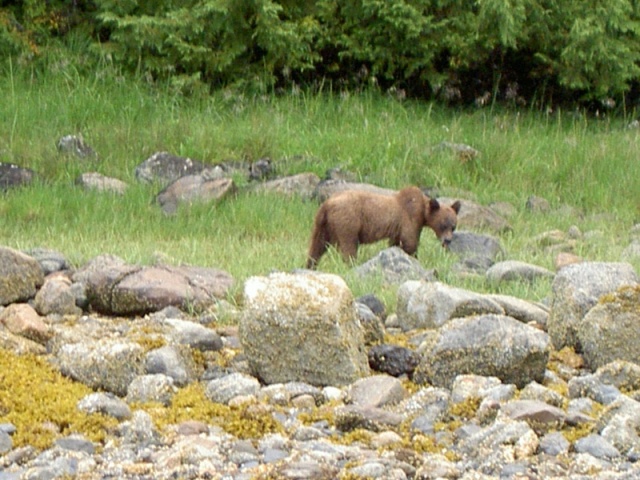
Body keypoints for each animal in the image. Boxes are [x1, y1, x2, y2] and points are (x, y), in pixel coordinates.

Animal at [304, 187, 460, 270]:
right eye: (443, 225)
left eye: (453, 226)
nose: (448, 240)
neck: (422, 213)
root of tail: (327, 203)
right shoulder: (409, 219)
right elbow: (410, 242)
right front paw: (415, 258)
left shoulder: (397, 228)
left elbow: (395, 243)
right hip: (347, 221)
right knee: (349, 246)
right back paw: (352, 265)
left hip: (322, 224)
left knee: (317, 246)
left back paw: (310, 265)